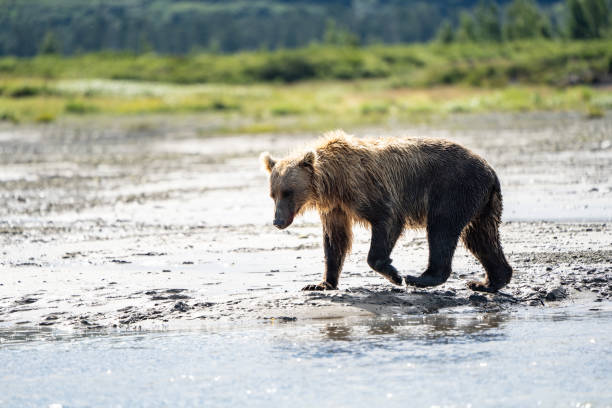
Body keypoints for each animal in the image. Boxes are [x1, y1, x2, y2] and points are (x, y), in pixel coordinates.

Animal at [260, 131, 512, 294]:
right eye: (273, 194)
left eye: (288, 192)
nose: (277, 220)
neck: (334, 183)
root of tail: (491, 171)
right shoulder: (336, 208)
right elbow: (335, 240)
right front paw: (321, 283)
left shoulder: (367, 190)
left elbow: (387, 220)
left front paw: (395, 275)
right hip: (482, 203)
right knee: (480, 237)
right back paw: (489, 281)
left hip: (454, 188)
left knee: (442, 228)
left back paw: (420, 277)